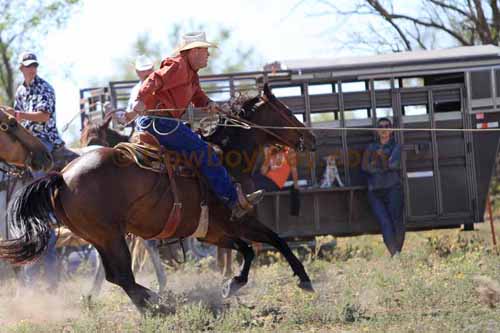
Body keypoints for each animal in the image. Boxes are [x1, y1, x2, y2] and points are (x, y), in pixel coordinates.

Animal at [0, 85, 314, 312]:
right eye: (286, 110)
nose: (310, 138)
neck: (226, 159)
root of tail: (61, 176)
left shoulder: (212, 231)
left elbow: (248, 249)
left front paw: (233, 284)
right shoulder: (239, 221)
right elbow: (274, 240)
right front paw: (303, 280)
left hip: (99, 237)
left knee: (117, 275)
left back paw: (148, 302)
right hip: (111, 236)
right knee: (122, 275)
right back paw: (156, 301)